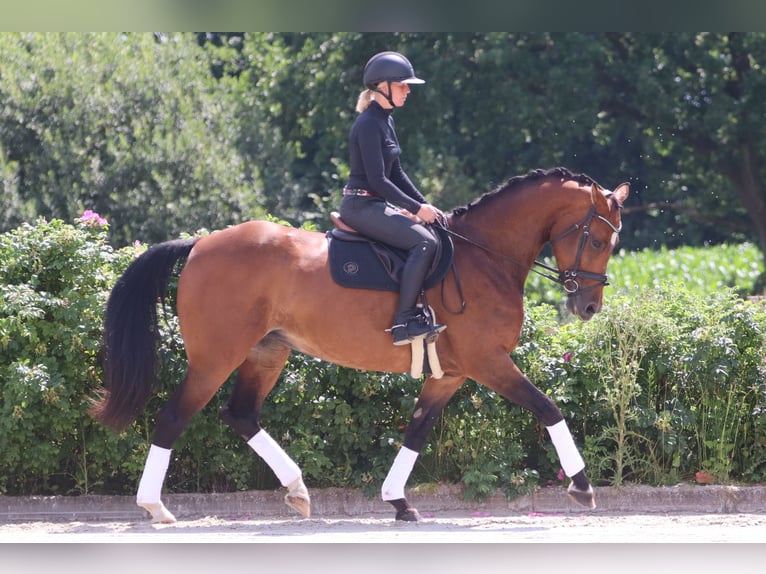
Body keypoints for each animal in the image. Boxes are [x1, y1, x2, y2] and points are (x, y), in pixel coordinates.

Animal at [90, 164, 632, 524]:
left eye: (613, 243)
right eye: (597, 241)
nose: (589, 307)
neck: (484, 258)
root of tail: (201, 243)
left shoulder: (452, 373)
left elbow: (416, 431)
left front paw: (398, 500)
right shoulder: (488, 362)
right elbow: (548, 408)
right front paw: (583, 486)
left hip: (268, 351)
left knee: (241, 414)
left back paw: (298, 489)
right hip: (216, 357)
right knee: (173, 416)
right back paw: (155, 506)